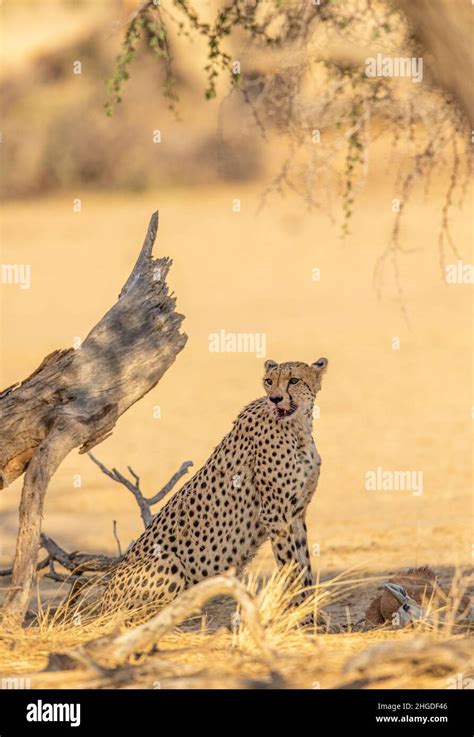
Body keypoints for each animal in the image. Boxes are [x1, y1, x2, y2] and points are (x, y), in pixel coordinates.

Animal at [101, 357, 328, 618]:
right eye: (269, 381)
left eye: (294, 380)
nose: (275, 398)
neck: (298, 428)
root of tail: (103, 601)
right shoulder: (276, 515)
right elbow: (290, 566)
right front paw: (300, 614)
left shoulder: (296, 513)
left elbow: (304, 564)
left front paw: (312, 613)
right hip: (167, 561)